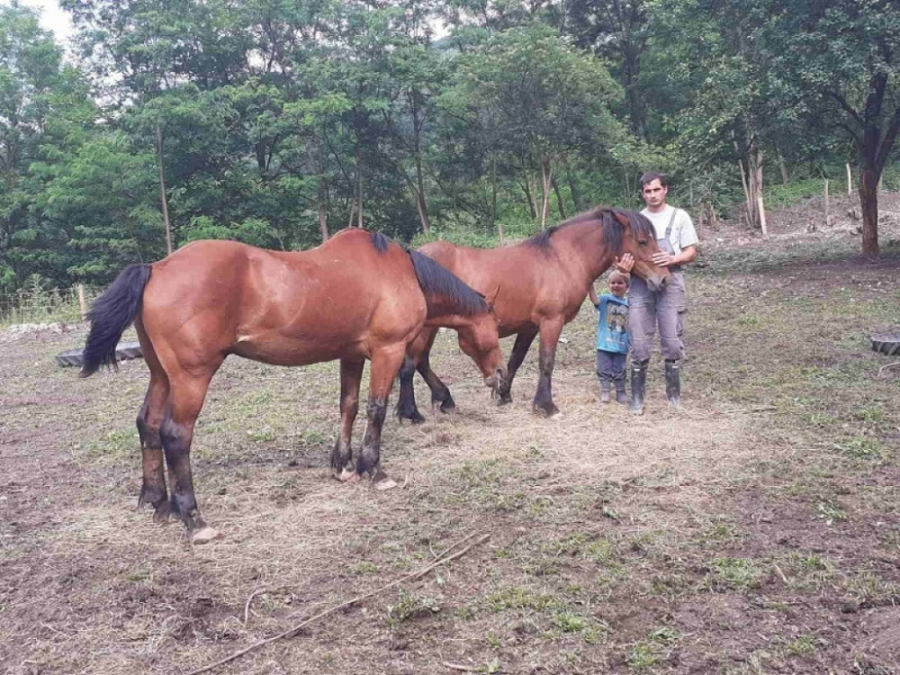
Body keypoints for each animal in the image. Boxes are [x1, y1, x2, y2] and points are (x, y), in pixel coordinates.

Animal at [80, 228, 506, 537]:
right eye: (496, 328)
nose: (500, 379)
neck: (400, 273)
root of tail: (156, 267)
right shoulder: (388, 351)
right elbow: (376, 408)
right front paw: (374, 469)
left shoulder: (351, 355)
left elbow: (348, 406)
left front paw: (342, 465)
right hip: (191, 377)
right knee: (175, 435)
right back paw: (193, 518)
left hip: (161, 375)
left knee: (148, 425)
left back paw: (156, 502)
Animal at [395, 207, 670, 421]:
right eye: (642, 241)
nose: (664, 279)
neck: (561, 259)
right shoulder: (551, 321)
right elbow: (546, 362)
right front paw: (546, 406)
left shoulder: (528, 327)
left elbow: (514, 361)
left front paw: (504, 395)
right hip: (425, 328)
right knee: (410, 364)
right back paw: (411, 413)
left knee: (421, 362)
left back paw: (444, 400)